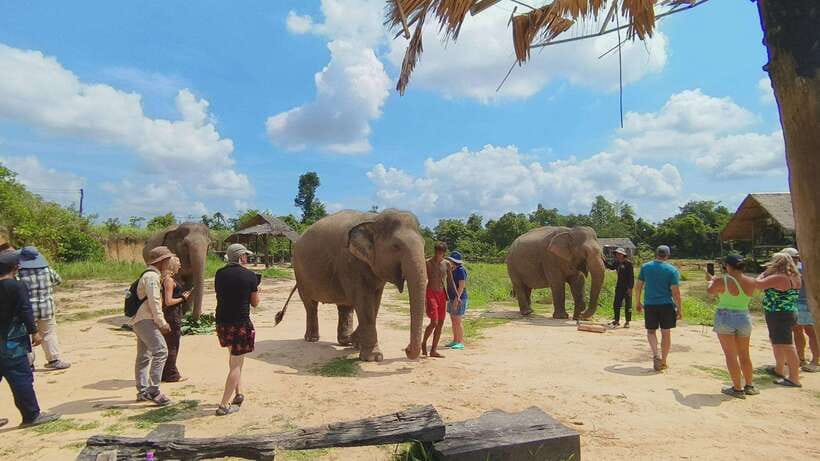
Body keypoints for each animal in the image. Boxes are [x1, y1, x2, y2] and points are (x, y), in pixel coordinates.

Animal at [277, 209, 428, 362]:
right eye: (396, 246)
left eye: (424, 244)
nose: (407, 349)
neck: (374, 219)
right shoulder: (350, 264)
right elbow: (364, 302)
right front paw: (373, 357)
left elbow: (375, 303)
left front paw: (357, 344)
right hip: (300, 272)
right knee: (310, 305)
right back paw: (312, 339)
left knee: (345, 307)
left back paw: (345, 341)